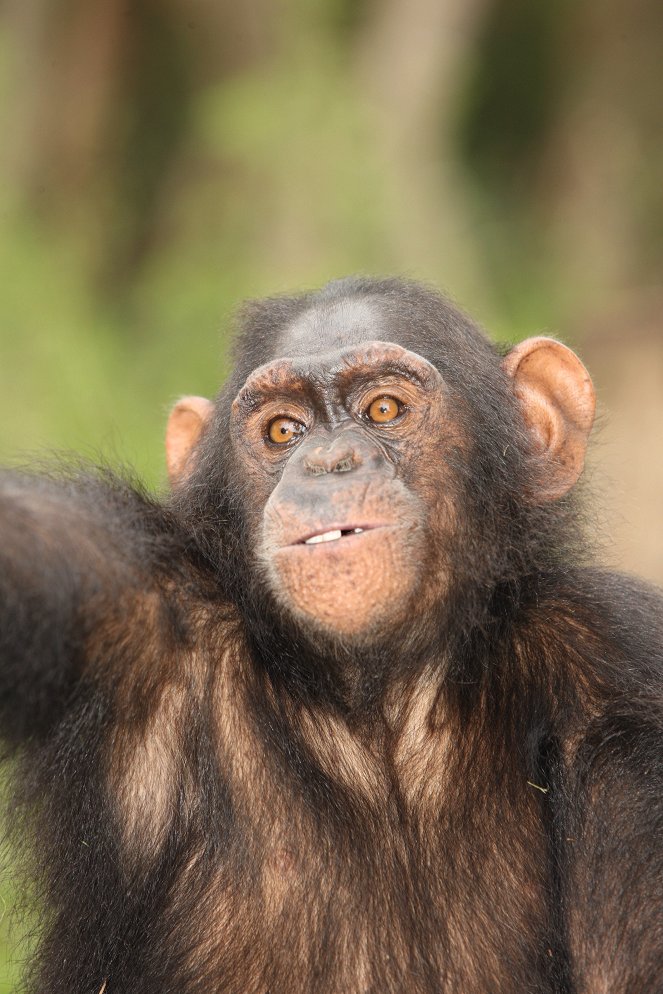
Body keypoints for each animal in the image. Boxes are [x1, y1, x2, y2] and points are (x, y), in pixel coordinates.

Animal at [0, 274, 660, 992]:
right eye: (283, 429)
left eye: (384, 409)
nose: (328, 462)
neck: (378, 707)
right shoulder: (137, 609)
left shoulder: (621, 687)